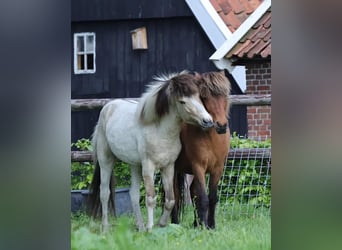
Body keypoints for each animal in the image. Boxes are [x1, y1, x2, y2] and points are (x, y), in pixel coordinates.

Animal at [87, 71, 214, 231]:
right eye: (182, 102)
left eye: (198, 97)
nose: (207, 121)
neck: (160, 131)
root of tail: (108, 107)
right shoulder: (149, 167)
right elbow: (151, 198)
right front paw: (150, 228)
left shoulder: (168, 167)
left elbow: (170, 199)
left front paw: (161, 223)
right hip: (106, 160)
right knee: (105, 193)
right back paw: (105, 228)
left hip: (135, 165)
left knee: (133, 194)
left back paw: (140, 226)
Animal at [170, 70, 231, 229]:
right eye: (204, 97)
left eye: (225, 94)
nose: (221, 125)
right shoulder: (198, 167)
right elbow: (203, 197)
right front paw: (204, 227)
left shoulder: (218, 168)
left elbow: (212, 197)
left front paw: (211, 225)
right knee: (174, 194)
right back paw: (174, 223)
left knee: (192, 192)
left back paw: (195, 223)